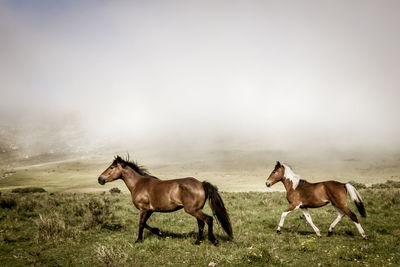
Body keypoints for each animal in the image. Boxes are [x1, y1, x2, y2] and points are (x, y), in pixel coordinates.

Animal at [98, 156, 233, 246]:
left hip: (192, 210)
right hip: (195, 210)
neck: (138, 184)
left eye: (111, 167)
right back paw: (197, 242)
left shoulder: (143, 209)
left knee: (208, 219)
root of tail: (201, 183)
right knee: (201, 223)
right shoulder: (150, 210)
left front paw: (139, 240)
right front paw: (159, 232)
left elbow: (141, 224)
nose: (100, 179)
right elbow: (145, 224)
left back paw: (214, 241)